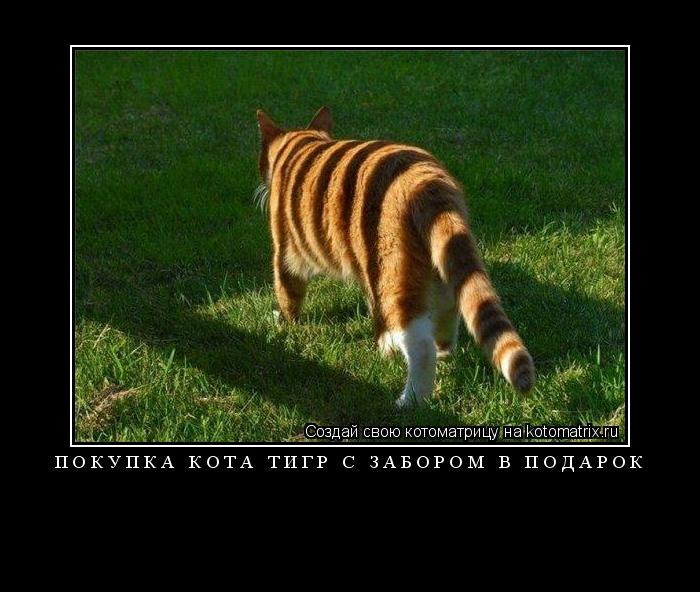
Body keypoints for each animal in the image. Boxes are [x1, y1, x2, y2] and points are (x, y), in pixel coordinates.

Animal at [255, 106, 535, 407]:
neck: (304, 143)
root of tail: (426, 179)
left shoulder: (286, 253)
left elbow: (288, 293)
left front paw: (285, 322)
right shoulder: (368, 272)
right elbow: (376, 312)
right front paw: (384, 347)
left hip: (394, 271)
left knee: (420, 345)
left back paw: (410, 401)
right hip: (435, 262)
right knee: (451, 306)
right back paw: (444, 349)